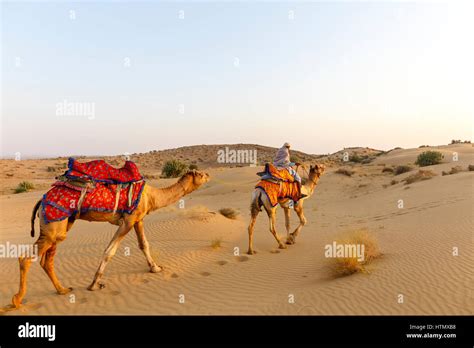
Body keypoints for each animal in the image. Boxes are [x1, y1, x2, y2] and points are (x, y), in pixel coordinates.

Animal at [11, 169, 209, 308]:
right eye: (199, 174)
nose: (208, 174)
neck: (152, 196)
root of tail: (42, 200)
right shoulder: (127, 221)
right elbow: (109, 251)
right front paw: (94, 284)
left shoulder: (138, 219)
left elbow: (143, 244)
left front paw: (155, 268)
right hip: (53, 225)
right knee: (26, 258)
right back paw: (17, 300)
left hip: (62, 225)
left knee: (47, 260)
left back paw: (63, 290)